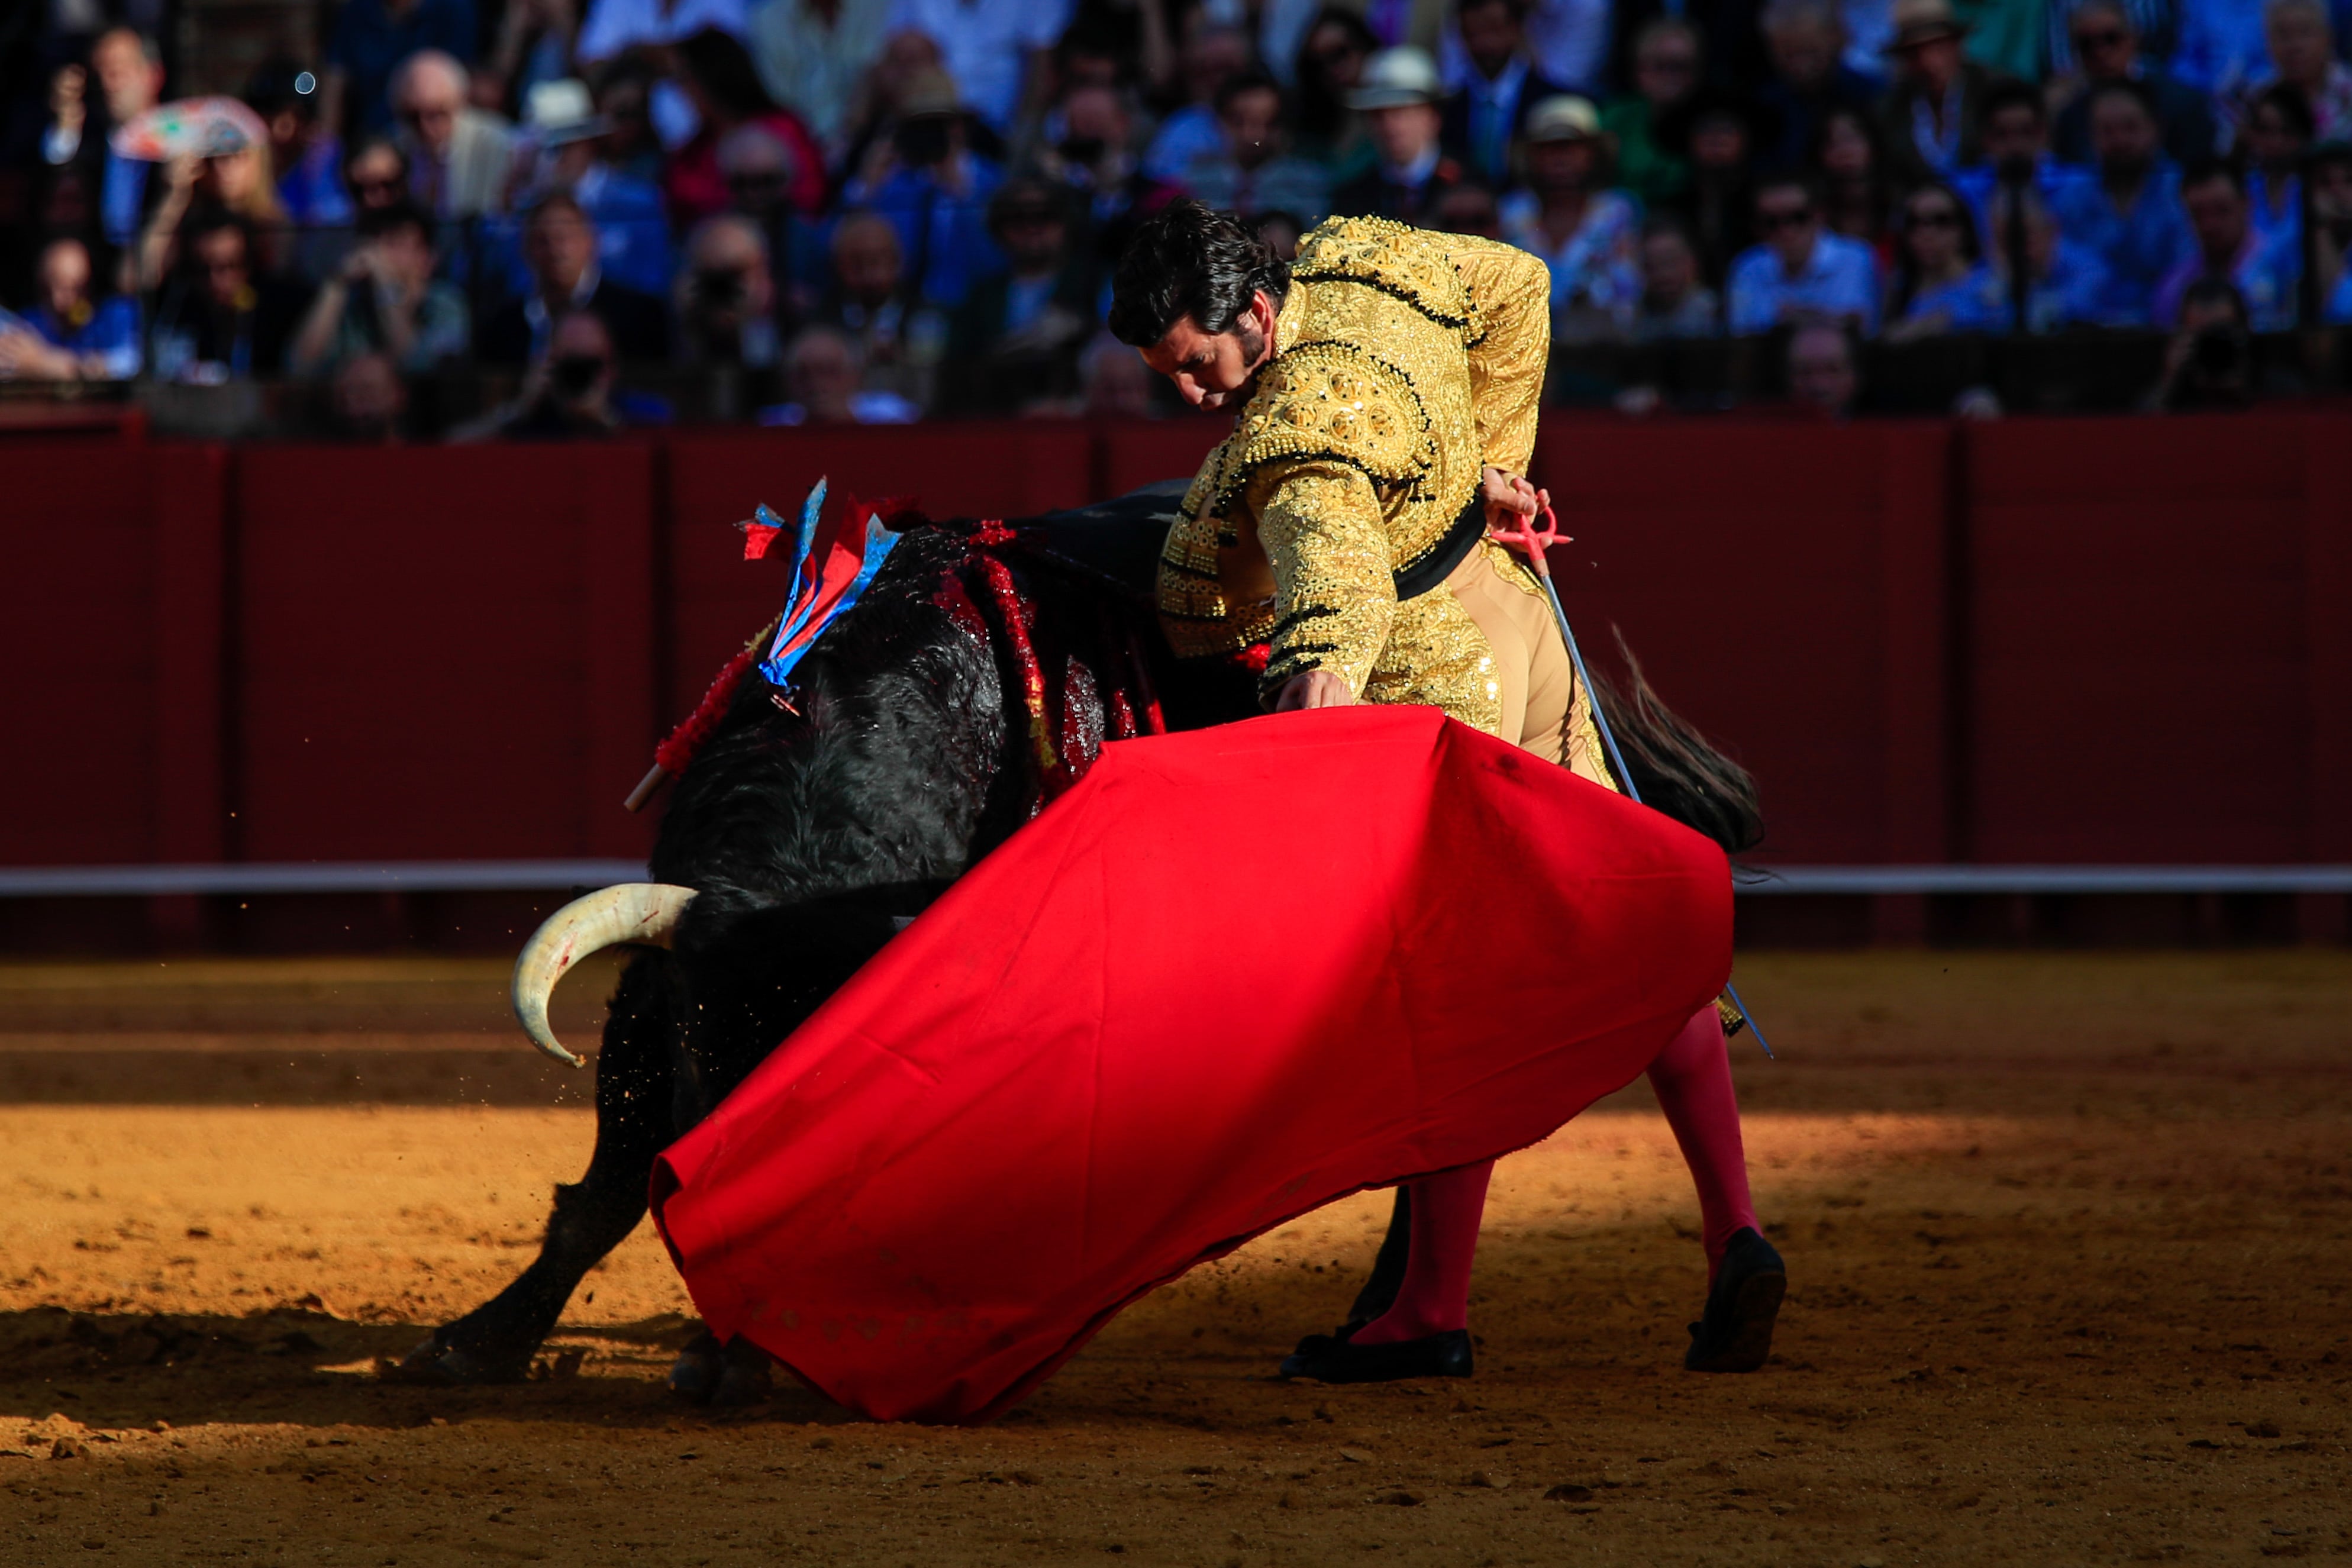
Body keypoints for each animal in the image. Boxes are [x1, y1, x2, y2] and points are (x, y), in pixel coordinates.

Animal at [395, 486, 1759, 1401]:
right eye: (701, 1055)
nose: (730, 1361)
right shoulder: (660, 980)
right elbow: (609, 1186)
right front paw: (479, 1341)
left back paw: (1406, 1323)